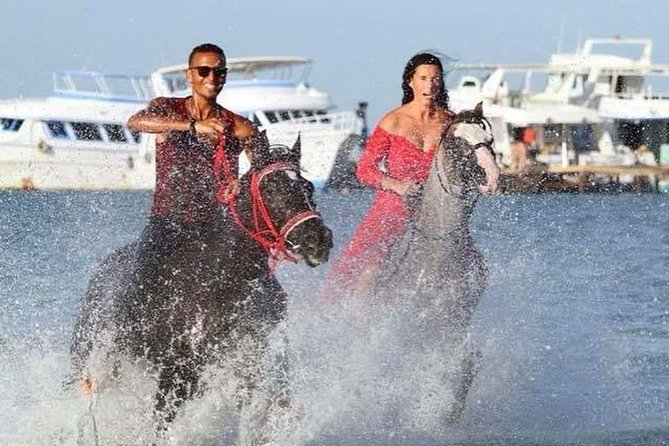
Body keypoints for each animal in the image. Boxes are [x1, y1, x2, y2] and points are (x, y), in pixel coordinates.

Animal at [69, 134, 333, 437]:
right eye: (271, 188)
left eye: (308, 187)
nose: (319, 240)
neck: (219, 285)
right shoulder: (176, 374)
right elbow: (161, 424)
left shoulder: (250, 369)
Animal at [371, 103, 496, 422]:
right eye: (455, 142)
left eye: (489, 139)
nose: (492, 177)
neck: (439, 250)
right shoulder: (415, 323)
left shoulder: (458, 318)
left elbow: (465, 362)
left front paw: (450, 411)